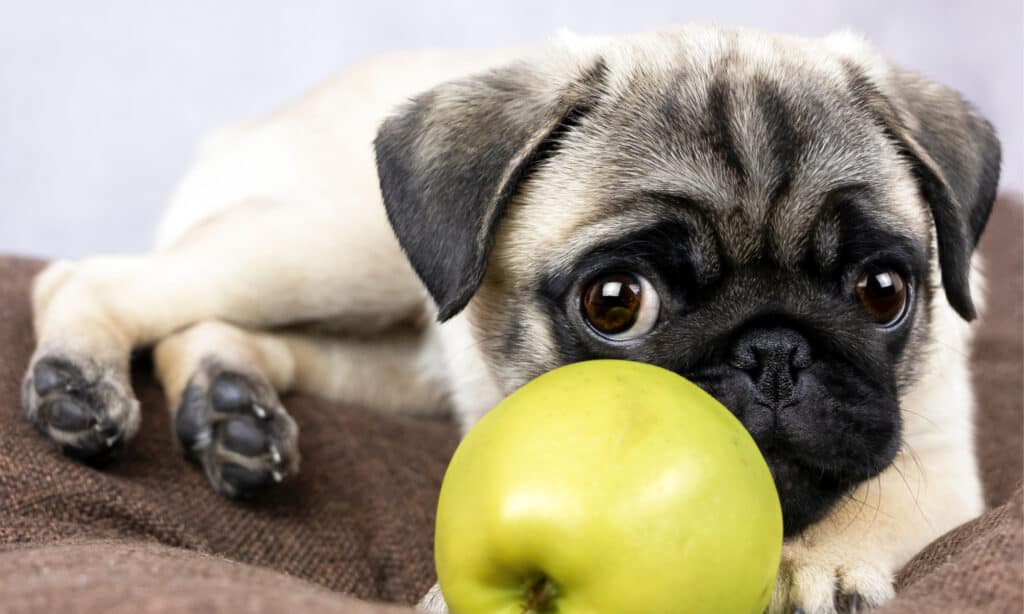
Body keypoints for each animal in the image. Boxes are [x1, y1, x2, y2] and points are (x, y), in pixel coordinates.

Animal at [22, 25, 999, 614]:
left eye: (883, 291)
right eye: (616, 303)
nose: (772, 351)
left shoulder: (939, 463)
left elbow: (868, 502)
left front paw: (810, 566)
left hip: (386, 350)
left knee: (236, 335)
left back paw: (232, 414)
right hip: (335, 244)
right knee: (93, 277)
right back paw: (81, 383)